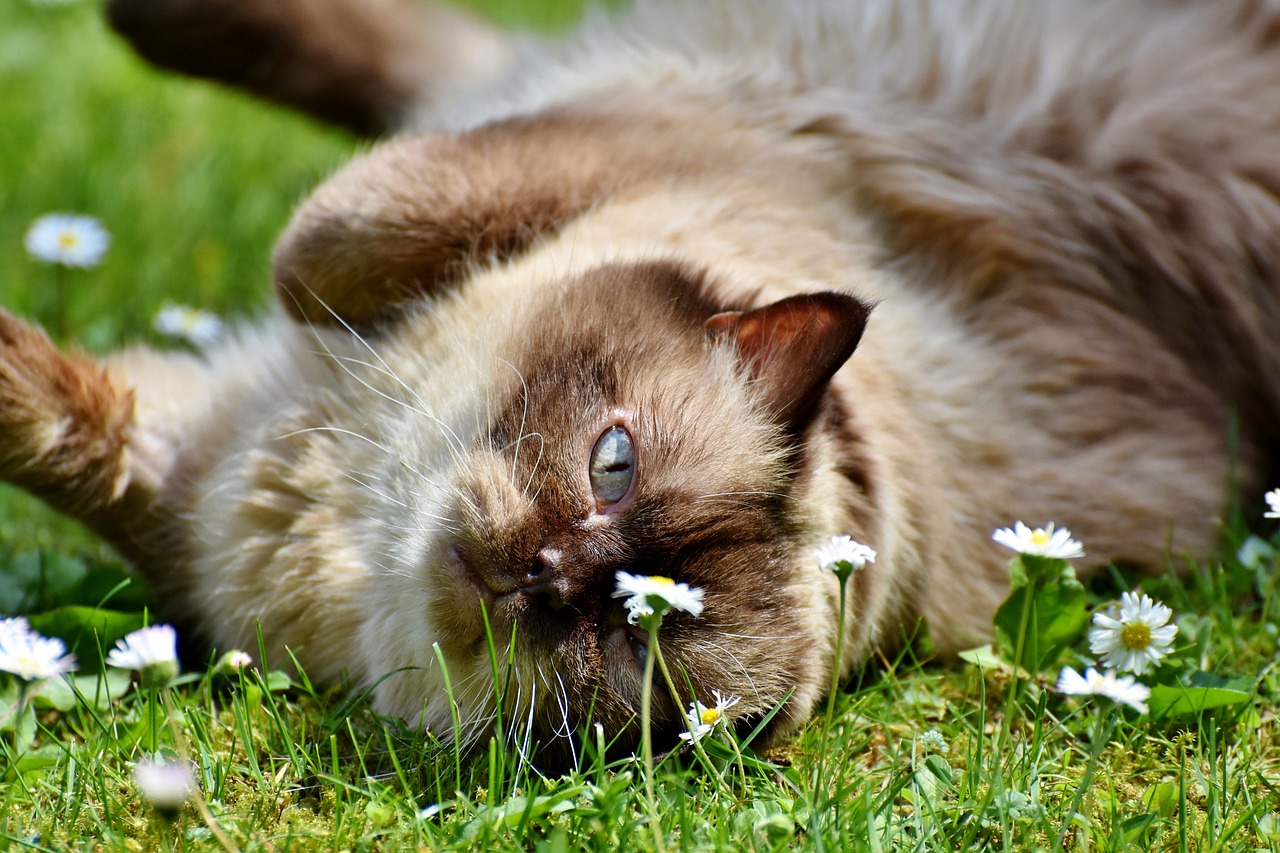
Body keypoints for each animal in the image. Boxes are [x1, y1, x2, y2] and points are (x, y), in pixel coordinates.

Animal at [2, 0, 1280, 758]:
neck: (352, 514)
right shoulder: (643, 132)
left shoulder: (191, 489)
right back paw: (155, 24)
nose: (545, 572)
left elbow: (60, 414)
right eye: (610, 462)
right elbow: (333, 232)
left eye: (625, 639)